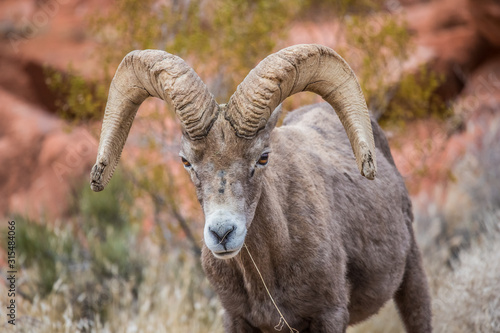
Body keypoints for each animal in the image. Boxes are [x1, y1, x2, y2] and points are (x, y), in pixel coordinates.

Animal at [91, 44, 434, 332]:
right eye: (186, 161)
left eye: (263, 157)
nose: (223, 234)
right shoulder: (236, 319)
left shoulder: (330, 316)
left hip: (412, 278)